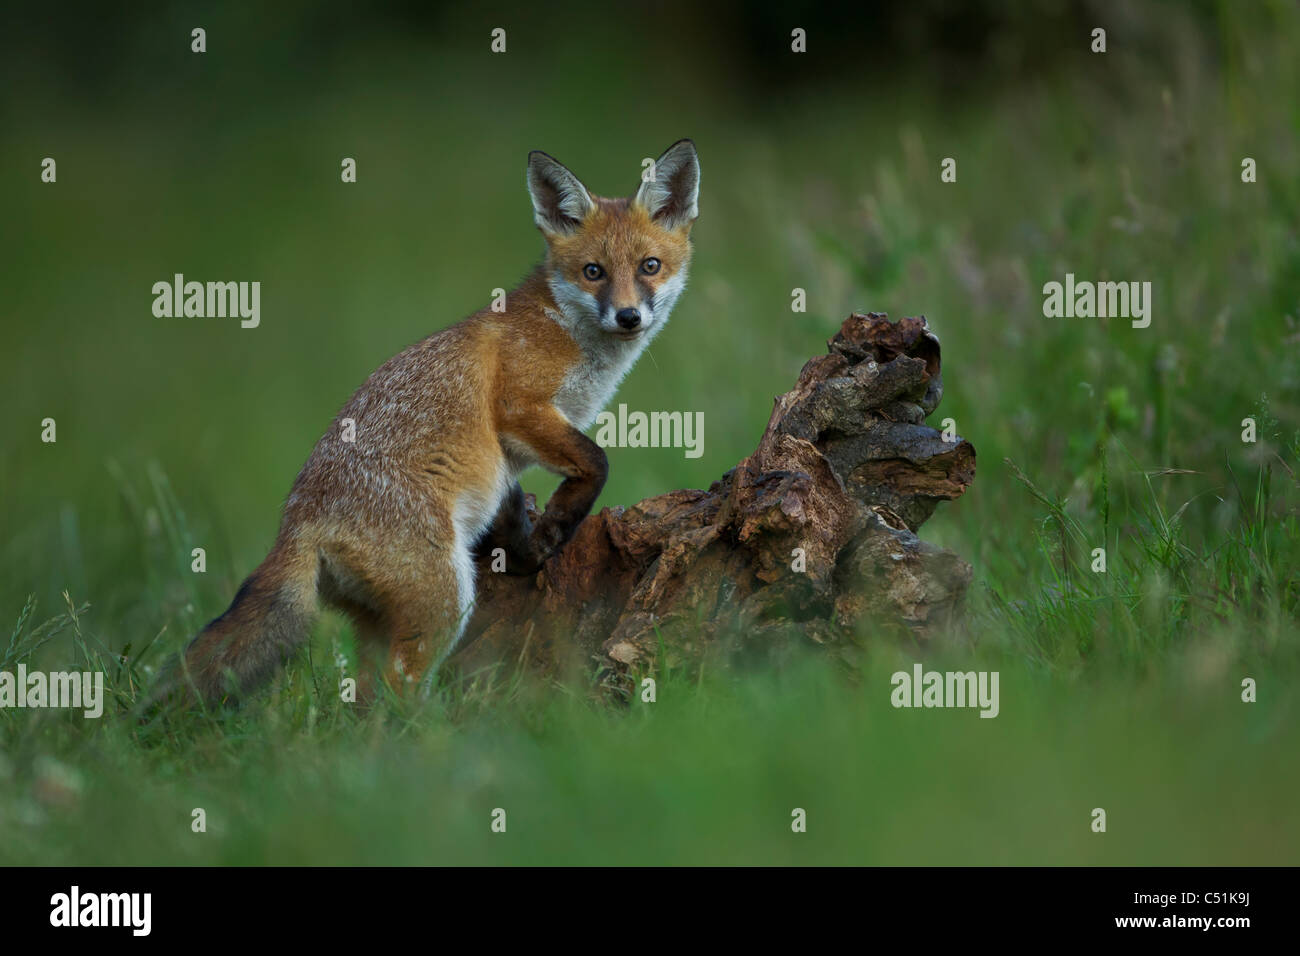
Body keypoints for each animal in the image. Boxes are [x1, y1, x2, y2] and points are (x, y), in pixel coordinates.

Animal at [153, 138, 707, 707]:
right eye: (593, 272)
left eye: (649, 266)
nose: (628, 316)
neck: (570, 337)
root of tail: (296, 523)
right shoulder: (519, 409)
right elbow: (598, 460)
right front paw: (557, 524)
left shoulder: (508, 460)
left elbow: (516, 507)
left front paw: (527, 549)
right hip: (446, 598)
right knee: (397, 690)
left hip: (380, 623)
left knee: (363, 702)